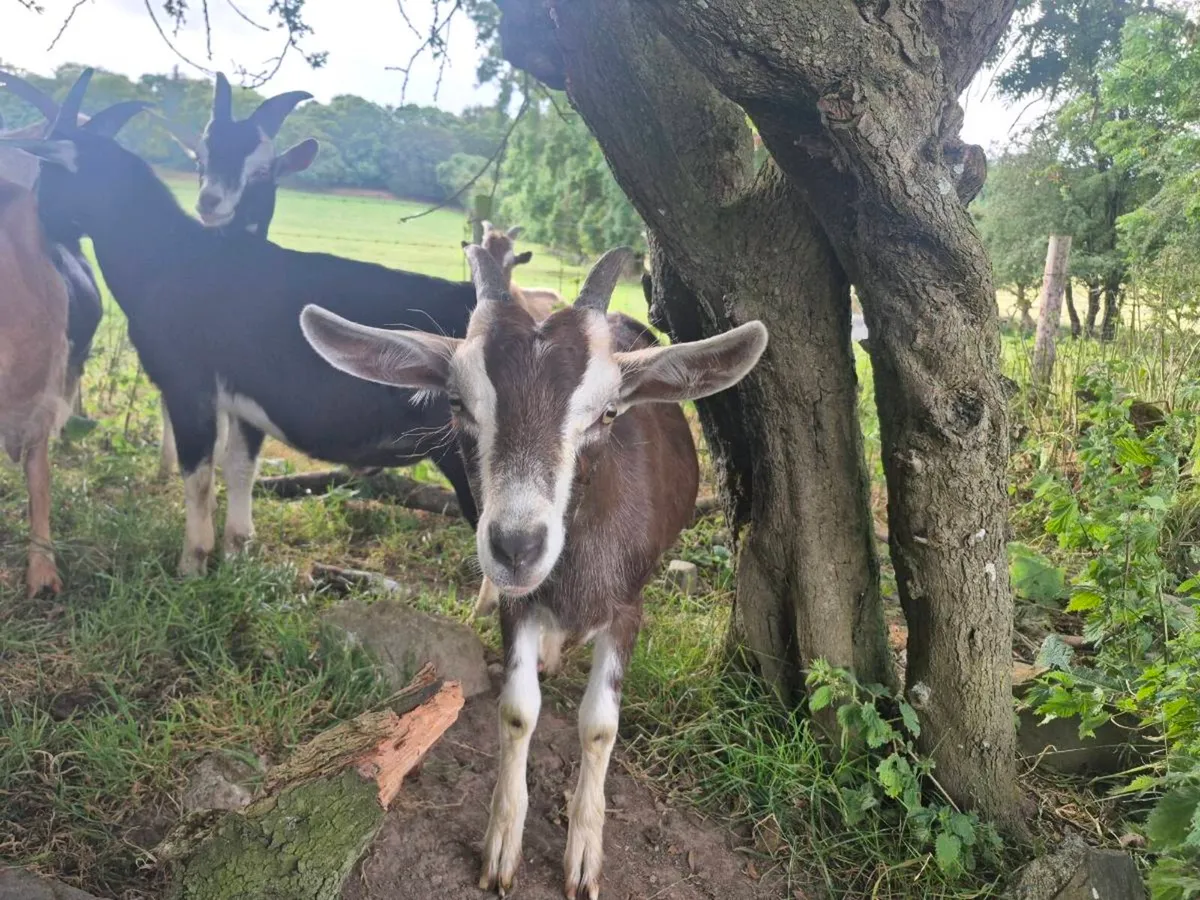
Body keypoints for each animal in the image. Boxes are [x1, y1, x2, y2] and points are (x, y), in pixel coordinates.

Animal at [3, 68, 481, 578]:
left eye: (47, 174)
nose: (44, 224)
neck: (171, 256)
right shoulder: (245, 402)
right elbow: (237, 468)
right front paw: (235, 552)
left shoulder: (189, 387)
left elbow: (197, 473)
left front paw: (191, 564)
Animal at [301, 244, 767, 899]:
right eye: (457, 403)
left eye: (607, 412)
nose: (517, 546)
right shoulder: (516, 603)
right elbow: (518, 710)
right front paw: (501, 847)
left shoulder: (628, 608)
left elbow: (599, 726)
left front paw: (583, 856)